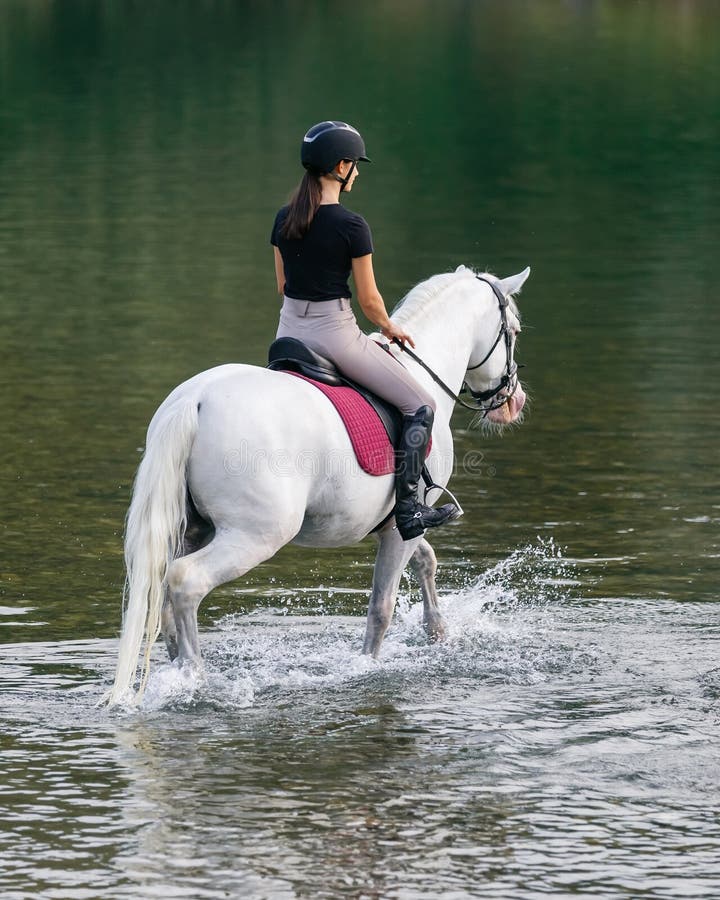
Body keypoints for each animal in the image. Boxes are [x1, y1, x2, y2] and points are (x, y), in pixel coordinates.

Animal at [107, 264, 532, 708]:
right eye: (515, 330)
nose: (513, 402)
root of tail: (196, 399)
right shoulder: (406, 524)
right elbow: (382, 606)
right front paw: (367, 667)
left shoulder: (398, 523)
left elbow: (426, 562)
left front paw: (438, 633)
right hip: (255, 535)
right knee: (185, 582)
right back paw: (194, 677)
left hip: (192, 530)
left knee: (163, 595)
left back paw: (174, 671)